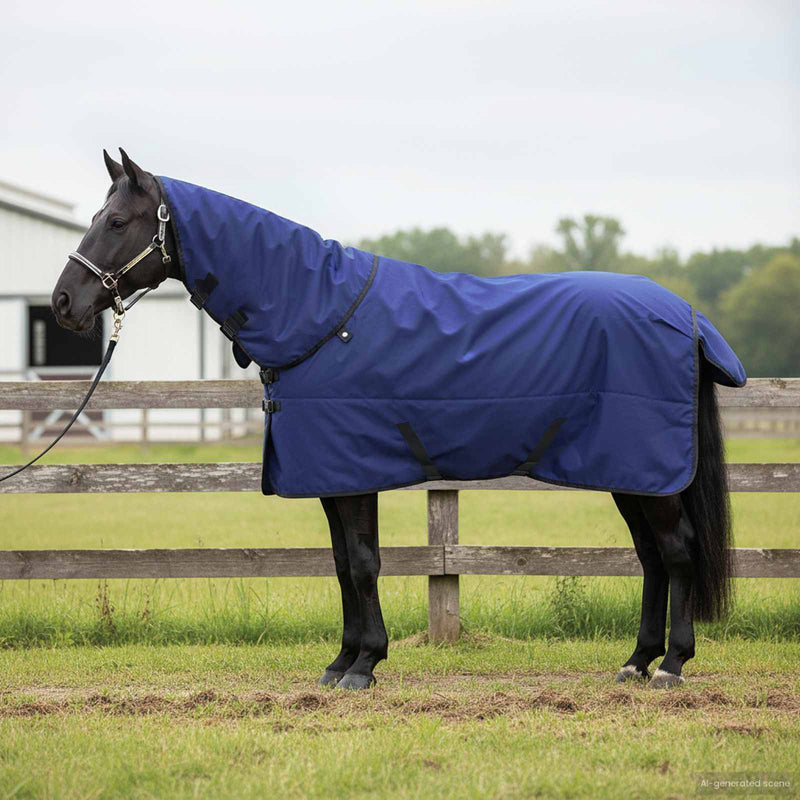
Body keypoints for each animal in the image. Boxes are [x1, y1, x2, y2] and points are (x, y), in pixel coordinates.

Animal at [51, 148, 742, 690]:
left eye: (116, 221)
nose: (63, 303)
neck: (320, 314)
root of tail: (686, 316)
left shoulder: (353, 473)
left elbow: (362, 563)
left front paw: (364, 666)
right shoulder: (331, 478)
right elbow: (340, 564)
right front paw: (341, 663)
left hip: (648, 471)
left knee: (677, 552)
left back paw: (672, 665)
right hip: (633, 474)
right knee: (652, 558)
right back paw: (636, 662)